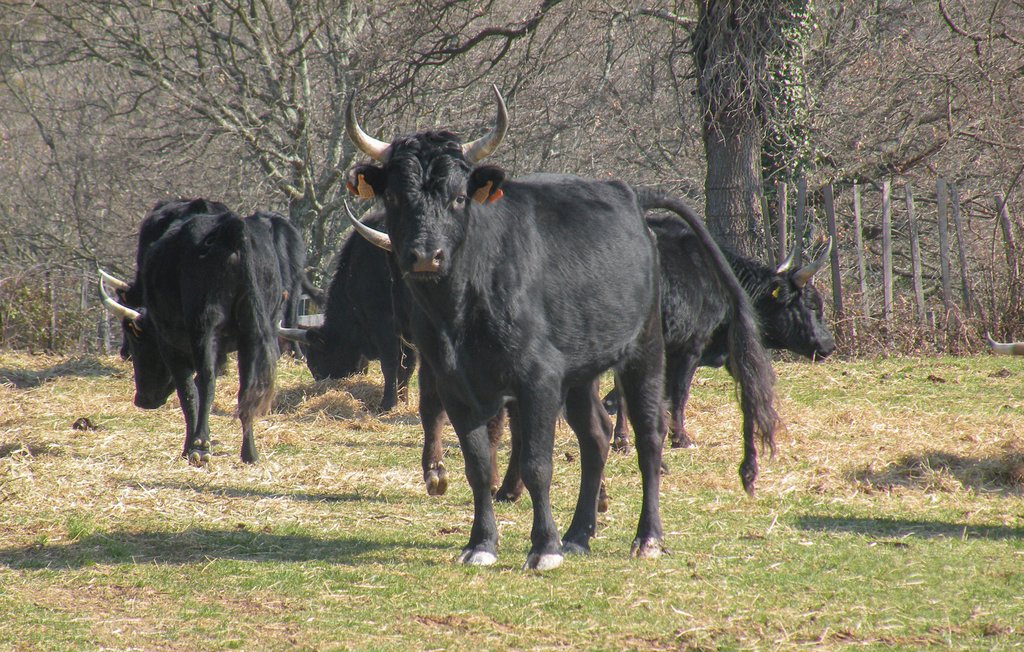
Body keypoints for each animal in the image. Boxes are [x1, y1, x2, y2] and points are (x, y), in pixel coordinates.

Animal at [100, 200, 296, 464]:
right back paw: (250, 452)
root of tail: (231, 229)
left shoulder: (169, 344)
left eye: (135, 337)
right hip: (255, 330)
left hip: (203, 326)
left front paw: (189, 446)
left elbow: (188, 391)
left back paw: (200, 446)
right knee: (248, 386)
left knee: (206, 379)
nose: (142, 400)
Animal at [278, 210, 417, 409]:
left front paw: (388, 404)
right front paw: (403, 401)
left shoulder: (384, 323)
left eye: (314, 362)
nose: (321, 382)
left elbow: (390, 363)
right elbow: (407, 365)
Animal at [342, 86, 774, 569]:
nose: (424, 256)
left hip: (644, 350)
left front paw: (543, 546)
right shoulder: (455, 384)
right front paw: (481, 543)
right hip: (581, 372)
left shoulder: (538, 380)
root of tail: (628, 195)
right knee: (596, 437)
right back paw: (579, 533)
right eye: (397, 198)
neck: (461, 310)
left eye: (458, 197)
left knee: (649, 437)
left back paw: (647, 537)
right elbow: (478, 464)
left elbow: (537, 465)